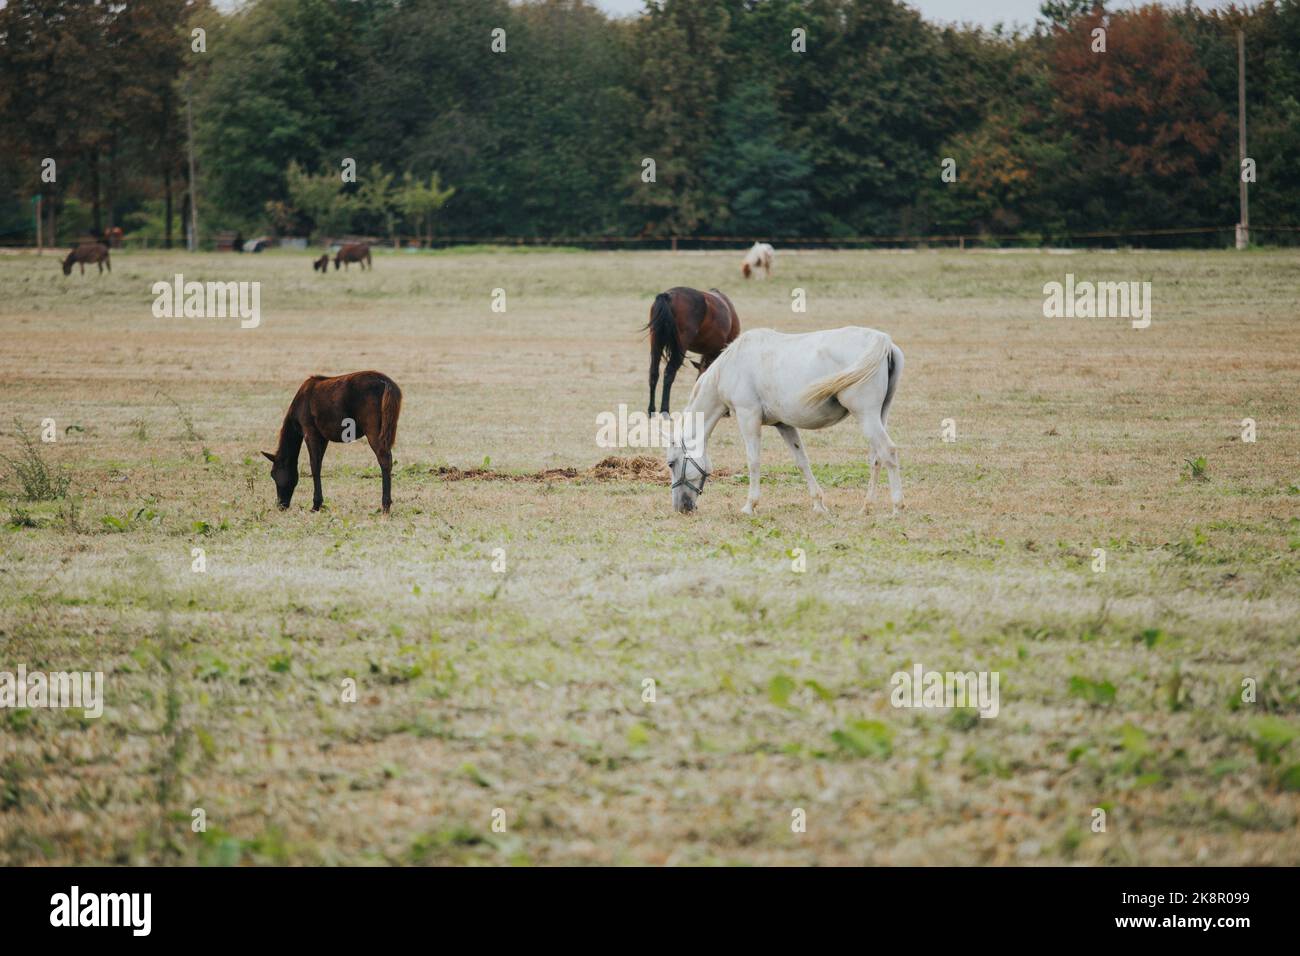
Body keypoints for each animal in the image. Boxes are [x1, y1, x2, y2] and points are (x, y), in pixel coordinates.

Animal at [262, 370, 403, 514]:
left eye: (273, 474)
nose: (281, 505)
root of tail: (387, 383)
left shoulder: (310, 432)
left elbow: (314, 466)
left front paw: (316, 505)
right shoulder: (323, 437)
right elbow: (318, 464)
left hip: (372, 430)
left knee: (384, 459)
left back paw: (385, 505)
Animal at [644, 287, 740, 417]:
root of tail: (667, 295)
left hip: (656, 344)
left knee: (653, 373)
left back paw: (651, 410)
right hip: (679, 348)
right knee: (669, 373)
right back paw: (665, 411)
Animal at [666, 326, 904, 516]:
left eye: (671, 463)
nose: (679, 508)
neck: (732, 365)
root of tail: (882, 340)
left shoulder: (748, 416)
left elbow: (753, 461)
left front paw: (750, 505)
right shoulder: (784, 425)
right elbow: (802, 461)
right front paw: (818, 505)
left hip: (866, 416)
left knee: (888, 451)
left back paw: (897, 507)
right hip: (878, 417)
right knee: (876, 458)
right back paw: (867, 507)